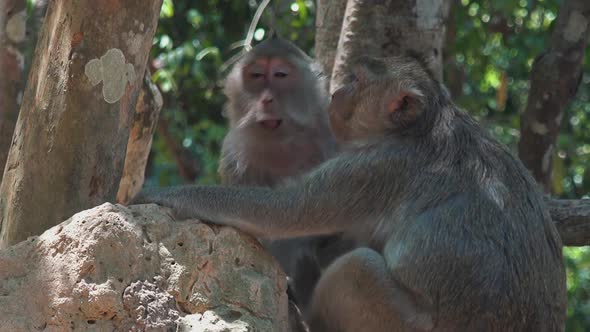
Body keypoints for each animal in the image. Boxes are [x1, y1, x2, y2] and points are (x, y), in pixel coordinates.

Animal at [134, 55, 568, 330]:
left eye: (358, 80)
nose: (338, 91)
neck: (424, 124)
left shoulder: (377, 167)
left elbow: (286, 212)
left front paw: (167, 194)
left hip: (403, 325)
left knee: (357, 267)